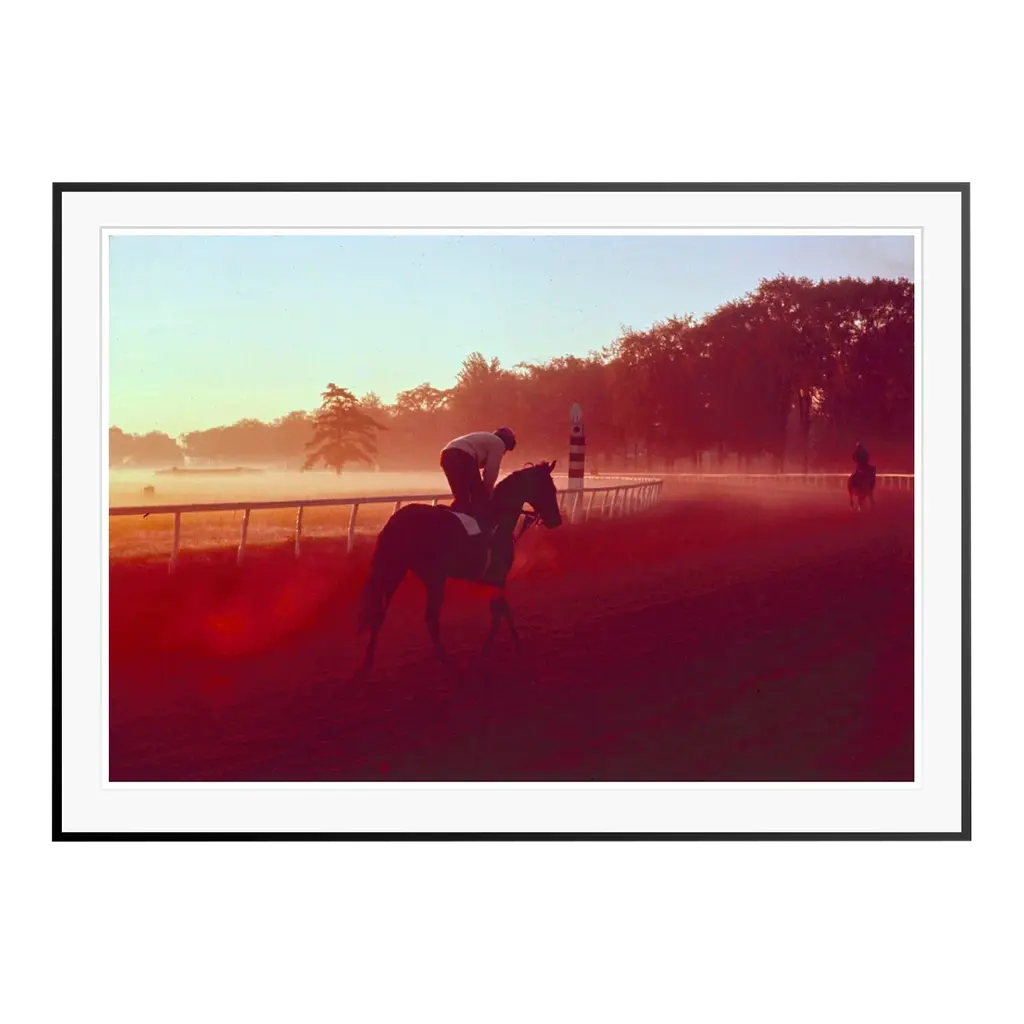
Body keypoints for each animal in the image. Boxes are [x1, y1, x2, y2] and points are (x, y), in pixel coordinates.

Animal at [354, 460, 564, 677]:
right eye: (550, 488)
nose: (556, 520)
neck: (498, 520)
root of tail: (396, 520)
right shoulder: (497, 577)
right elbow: (500, 613)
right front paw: (497, 648)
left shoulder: (492, 580)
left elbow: (503, 610)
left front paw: (510, 644)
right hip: (434, 578)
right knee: (431, 617)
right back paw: (446, 660)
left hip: (395, 572)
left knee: (379, 614)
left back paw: (367, 663)